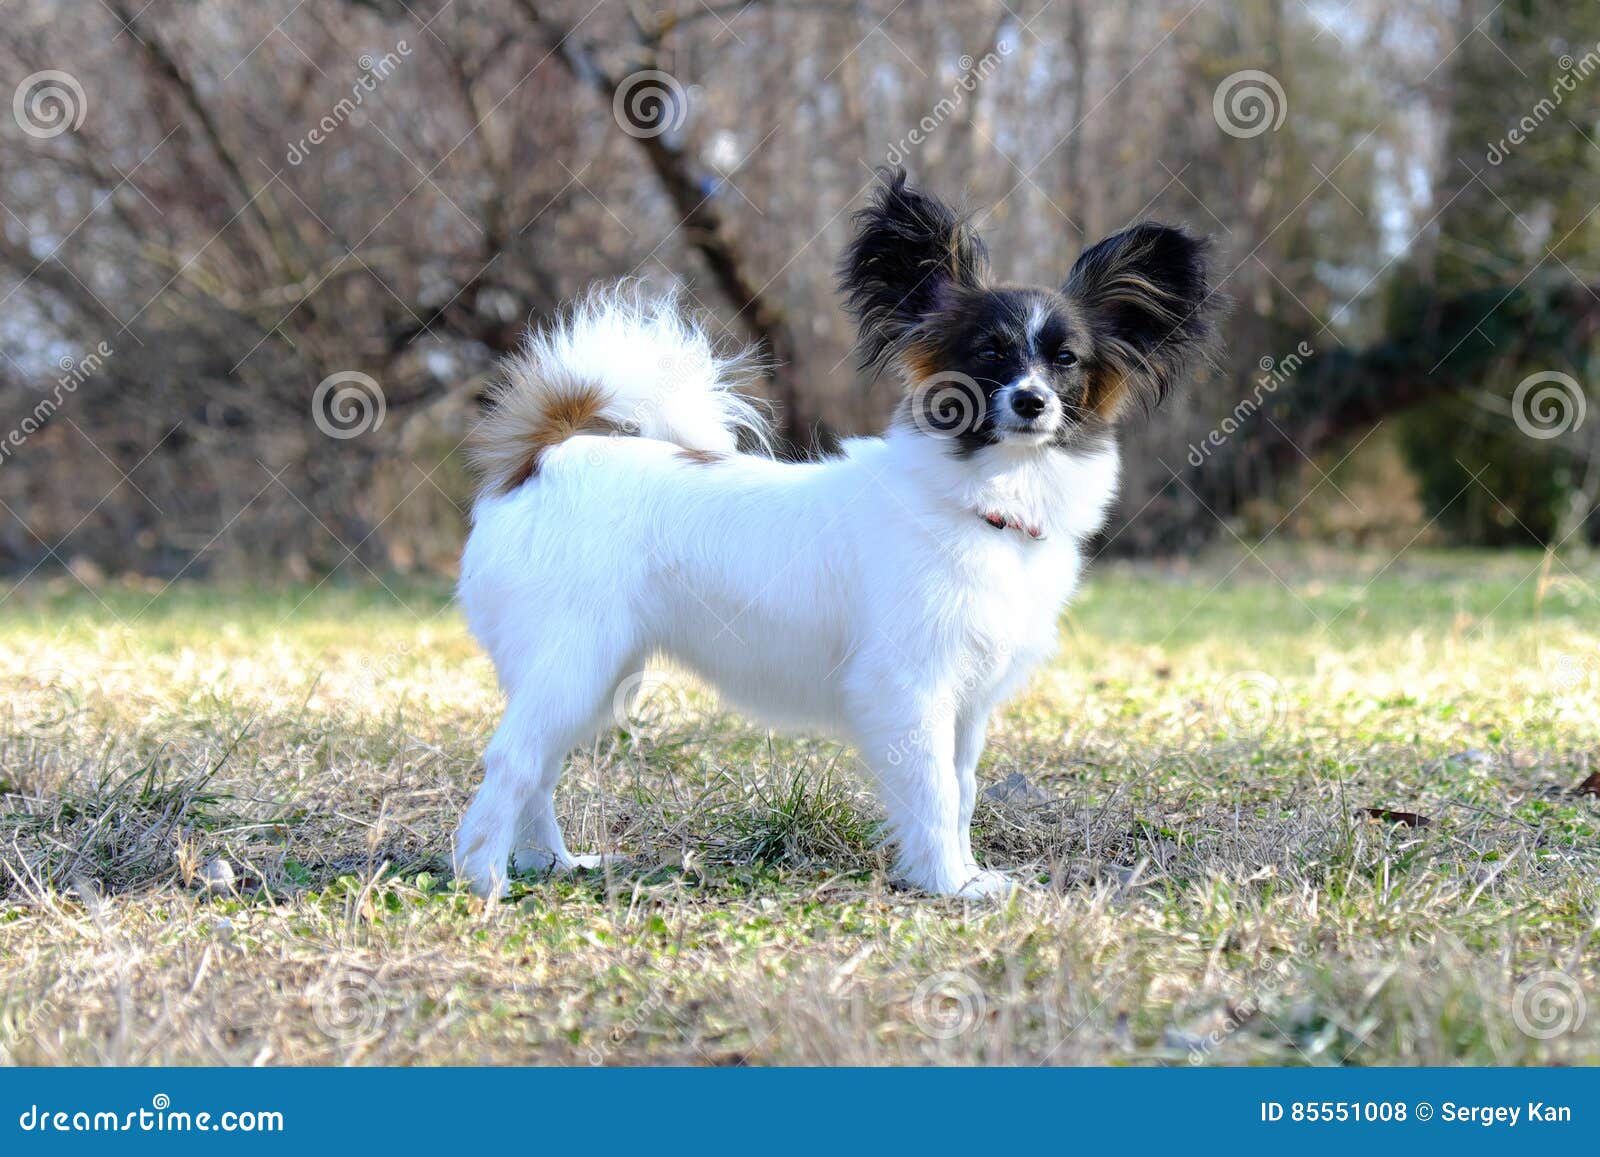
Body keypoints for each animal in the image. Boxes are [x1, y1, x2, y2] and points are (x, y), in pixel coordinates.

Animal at [451, 169, 1209, 896]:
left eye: (1066, 360)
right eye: (989, 354)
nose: (1031, 401)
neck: (980, 500)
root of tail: (544, 457)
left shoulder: (968, 699)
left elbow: (962, 789)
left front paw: (965, 874)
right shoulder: (908, 685)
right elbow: (934, 793)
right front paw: (946, 884)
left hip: (598, 673)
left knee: (541, 766)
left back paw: (550, 863)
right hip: (573, 657)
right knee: (513, 758)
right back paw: (484, 879)